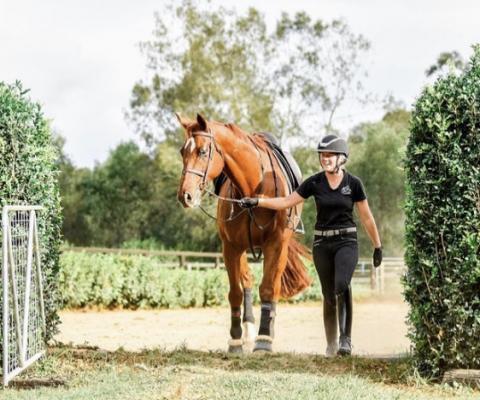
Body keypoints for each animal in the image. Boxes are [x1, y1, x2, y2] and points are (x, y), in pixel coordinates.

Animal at [176, 113, 312, 354]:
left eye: (202, 151)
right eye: (183, 152)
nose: (186, 195)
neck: (252, 188)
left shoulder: (276, 244)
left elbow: (268, 289)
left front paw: (264, 340)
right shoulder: (231, 247)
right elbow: (235, 293)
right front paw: (236, 341)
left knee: (273, 286)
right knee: (247, 280)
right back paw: (248, 330)